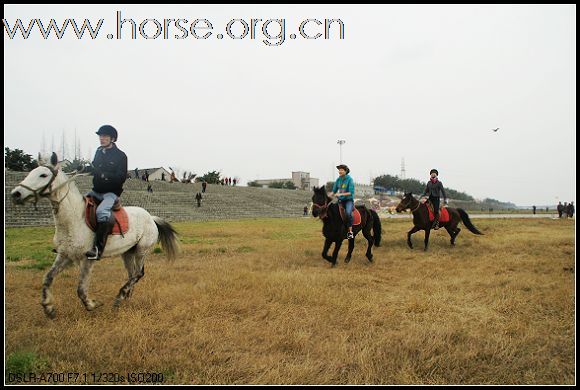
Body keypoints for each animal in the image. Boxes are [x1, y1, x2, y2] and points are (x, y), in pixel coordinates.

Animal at [9, 151, 180, 318]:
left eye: (43, 175)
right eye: (31, 172)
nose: (15, 194)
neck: (74, 220)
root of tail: (151, 217)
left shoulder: (87, 260)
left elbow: (81, 289)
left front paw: (93, 304)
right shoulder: (64, 255)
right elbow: (47, 278)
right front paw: (48, 307)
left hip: (141, 251)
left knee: (138, 274)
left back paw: (119, 297)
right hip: (127, 253)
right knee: (132, 274)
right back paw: (126, 297)